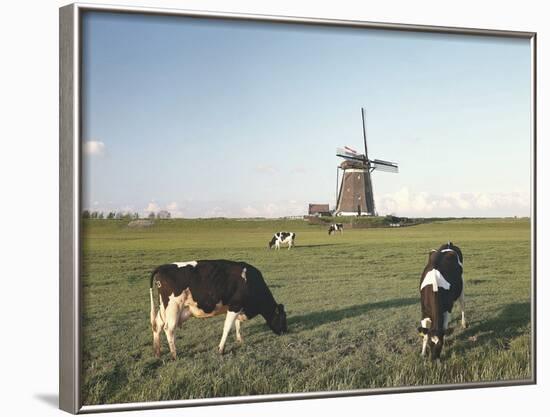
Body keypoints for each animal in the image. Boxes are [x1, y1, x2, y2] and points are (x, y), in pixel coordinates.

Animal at [151, 260, 288, 358]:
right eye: (282, 318)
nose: (285, 332)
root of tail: (162, 267)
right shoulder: (235, 306)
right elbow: (227, 327)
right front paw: (221, 349)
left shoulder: (237, 307)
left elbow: (237, 324)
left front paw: (240, 339)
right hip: (173, 307)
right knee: (169, 329)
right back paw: (174, 354)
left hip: (164, 308)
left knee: (157, 325)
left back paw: (157, 352)